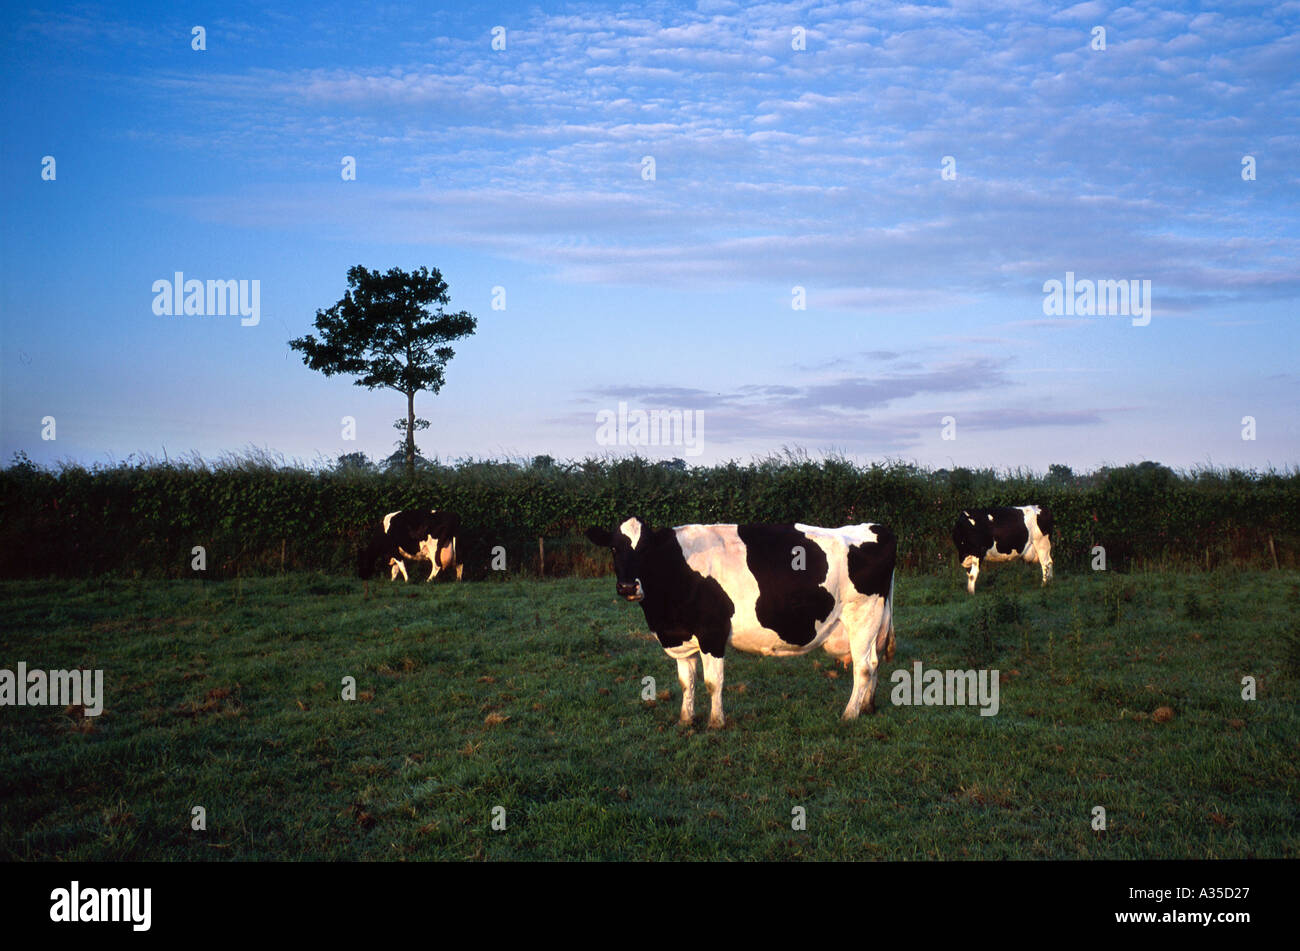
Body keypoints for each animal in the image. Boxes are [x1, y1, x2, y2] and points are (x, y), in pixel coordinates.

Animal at [582, 519, 894, 727]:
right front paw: (686, 721)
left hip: (862, 616)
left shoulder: (712, 633)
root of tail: (874, 527)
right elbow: (686, 682)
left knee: (863, 667)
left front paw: (715, 723)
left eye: (645, 549)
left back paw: (849, 713)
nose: (627, 587)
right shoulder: (681, 637)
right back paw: (867, 706)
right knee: (874, 661)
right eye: (613, 548)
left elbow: (712, 682)